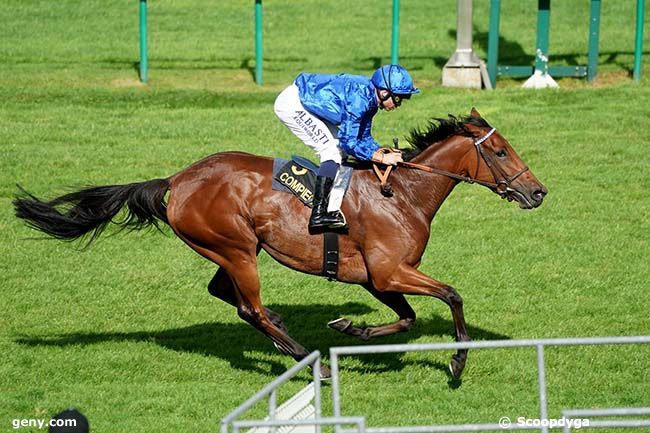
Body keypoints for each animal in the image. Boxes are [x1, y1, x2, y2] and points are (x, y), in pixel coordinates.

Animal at [12, 107, 544, 378]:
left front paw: (352, 328)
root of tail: (177, 179)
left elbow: (408, 318)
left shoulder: (377, 278)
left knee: (227, 296)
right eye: (500, 152)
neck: (404, 192)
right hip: (235, 248)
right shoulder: (390, 271)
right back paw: (310, 361)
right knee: (250, 308)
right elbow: (452, 295)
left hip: (231, 250)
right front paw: (457, 360)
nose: (538, 192)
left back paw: (291, 339)